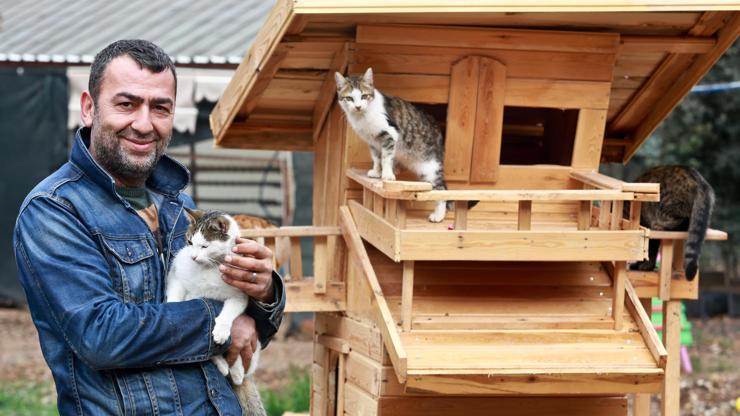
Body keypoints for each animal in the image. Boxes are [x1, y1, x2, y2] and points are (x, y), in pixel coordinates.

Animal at [165, 210, 266, 416]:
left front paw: (221, 330)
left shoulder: (238, 296)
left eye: (204, 246)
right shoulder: (177, 276)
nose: (193, 257)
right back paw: (226, 367)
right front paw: (170, 306)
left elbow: (228, 313)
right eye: (189, 242)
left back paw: (236, 371)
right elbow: (177, 294)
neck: (209, 268)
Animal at [336, 67, 474, 221]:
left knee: (441, 190)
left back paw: (438, 215)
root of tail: (438, 130)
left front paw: (387, 175)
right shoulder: (372, 141)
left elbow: (386, 158)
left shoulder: (390, 134)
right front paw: (376, 172)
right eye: (349, 98)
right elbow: (376, 158)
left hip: (431, 168)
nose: (358, 106)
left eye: (364, 96)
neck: (362, 118)